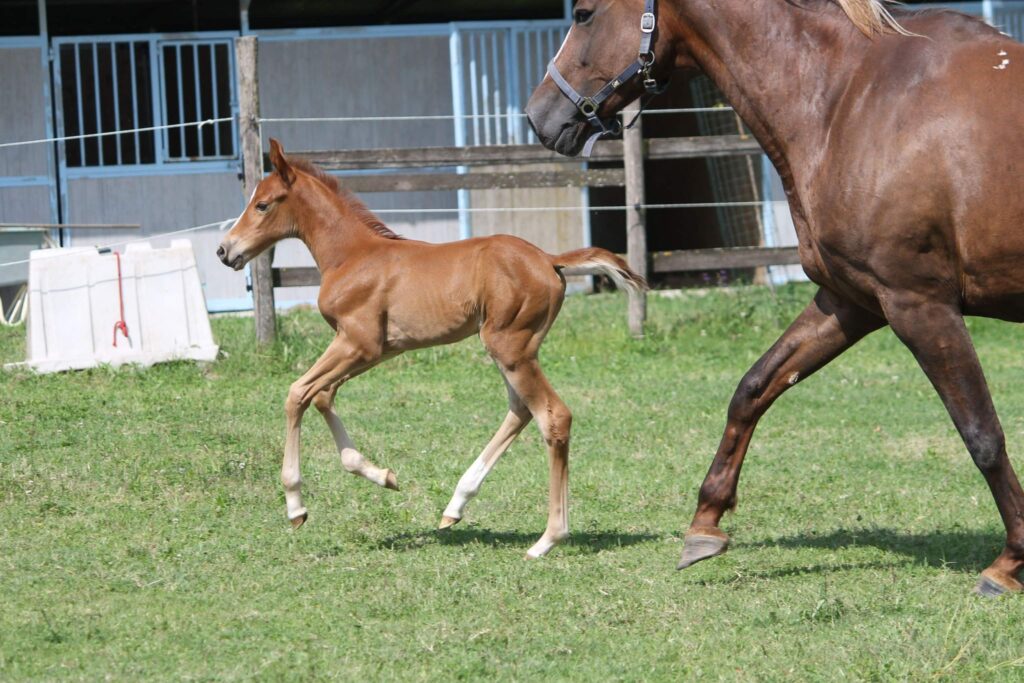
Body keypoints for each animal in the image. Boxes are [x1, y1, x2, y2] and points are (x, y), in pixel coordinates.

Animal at [218, 140, 647, 561]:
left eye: (262, 204)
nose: (224, 251)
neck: (352, 255)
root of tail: (548, 259)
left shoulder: (357, 342)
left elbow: (297, 394)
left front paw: (296, 506)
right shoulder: (375, 350)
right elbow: (322, 396)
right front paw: (382, 475)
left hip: (509, 346)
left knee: (553, 416)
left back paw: (547, 539)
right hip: (512, 348)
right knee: (521, 410)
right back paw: (455, 506)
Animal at [528, 0, 1024, 593]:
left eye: (583, 13)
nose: (538, 116)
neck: (850, 98)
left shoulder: (919, 304)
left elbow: (982, 433)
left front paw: (1009, 562)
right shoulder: (851, 300)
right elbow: (754, 388)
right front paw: (705, 525)